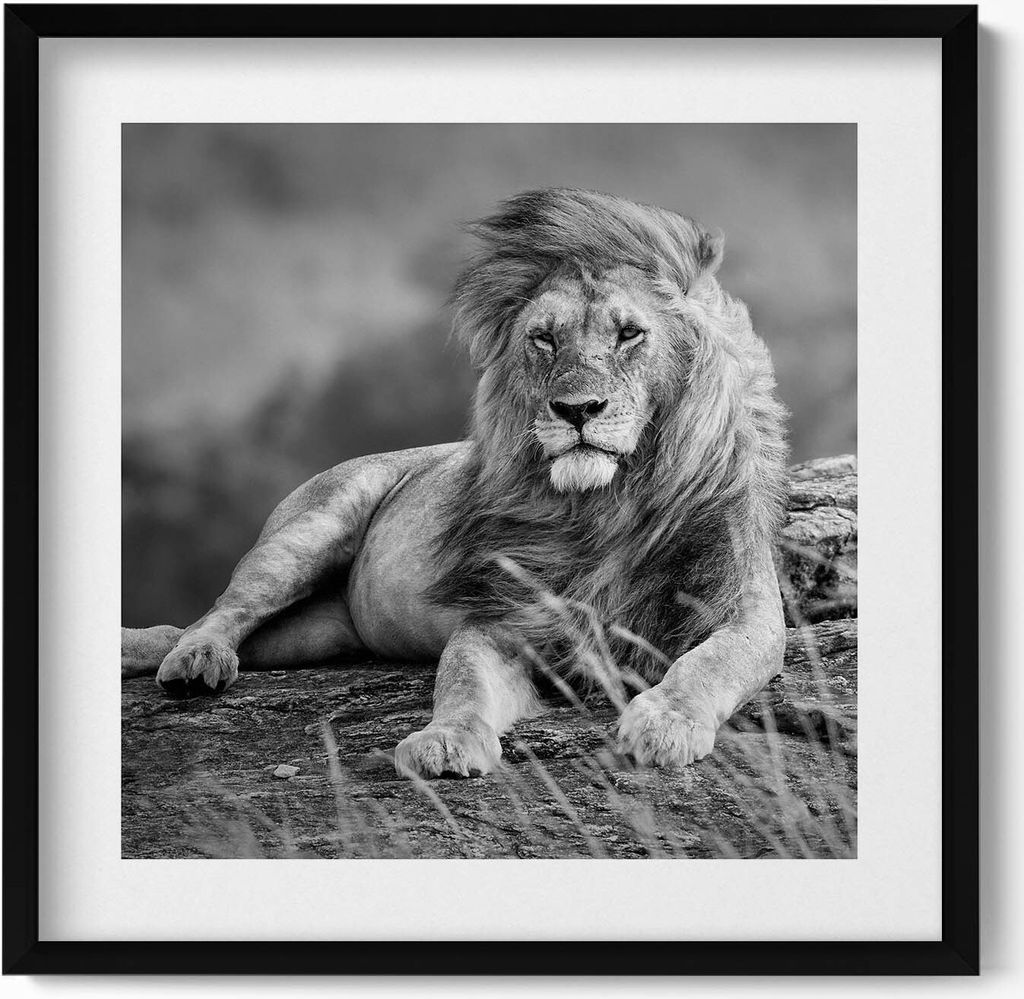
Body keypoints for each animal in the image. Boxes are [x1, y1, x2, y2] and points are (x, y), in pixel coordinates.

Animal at [121, 188, 789, 778]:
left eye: (629, 334)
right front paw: (444, 741)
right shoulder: (503, 616)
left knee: (201, 630)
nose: (577, 409)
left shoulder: (745, 609)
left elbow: (711, 663)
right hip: (308, 531)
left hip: (315, 635)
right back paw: (197, 660)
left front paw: (664, 723)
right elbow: (462, 681)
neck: (607, 506)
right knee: (220, 611)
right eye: (544, 338)